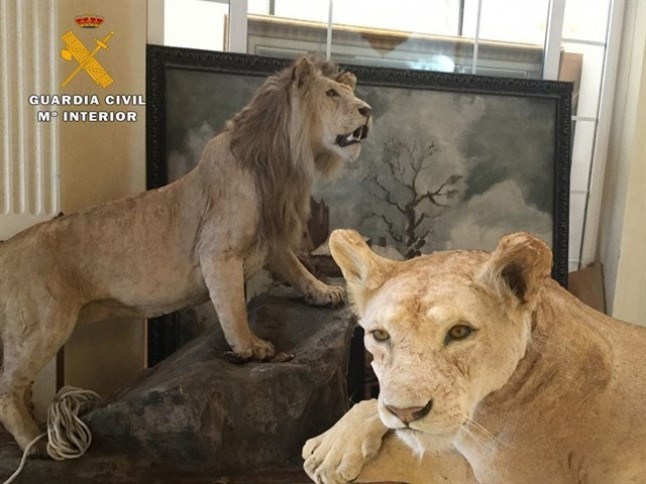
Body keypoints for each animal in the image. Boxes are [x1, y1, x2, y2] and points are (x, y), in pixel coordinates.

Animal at [0, 57, 372, 455]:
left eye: (349, 92)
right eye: (332, 94)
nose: (368, 110)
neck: (284, 162)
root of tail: (8, 247)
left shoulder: (271, 241)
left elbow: (296, 268)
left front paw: (324, 292)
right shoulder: (217, 250)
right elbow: (232, 307)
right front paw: (250, 346)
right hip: (43, 326)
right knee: (8, 389)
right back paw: (36, 442)